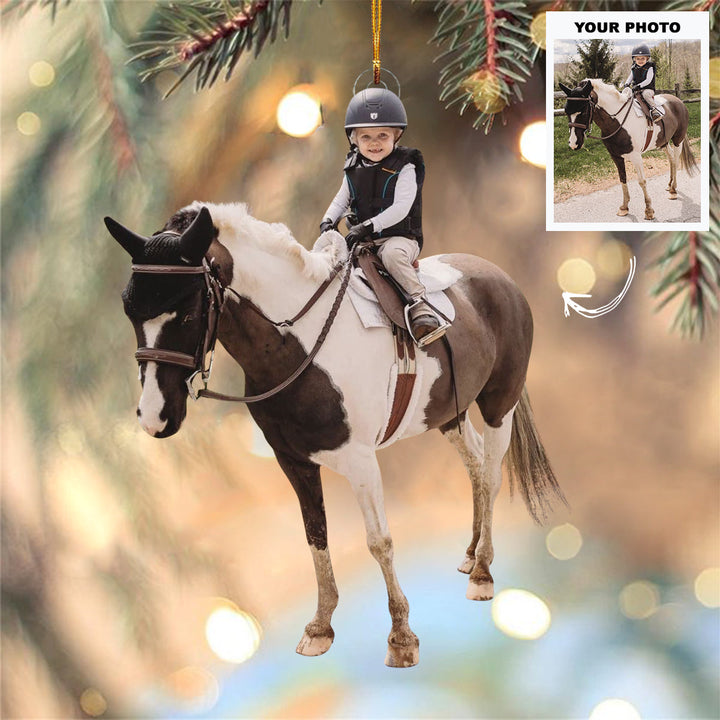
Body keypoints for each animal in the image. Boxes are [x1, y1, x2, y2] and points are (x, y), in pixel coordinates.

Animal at [104, 201, 566, 668]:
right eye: (129, 311)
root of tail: (498, 275)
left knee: (491, 475)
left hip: (498, 404)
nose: (153, 416)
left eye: (187, 311)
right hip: (447, 415)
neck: (299, 348)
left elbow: (379, 541)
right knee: (474, 464)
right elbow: (316, 537)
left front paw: (401, 637)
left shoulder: (361, 462)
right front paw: (320, 628)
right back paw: (471, 555)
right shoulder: (294, 462)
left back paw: (483, 572)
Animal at [559, 78, 698, 220]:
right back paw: (669, 185)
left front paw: (648, 210)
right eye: (566, 111)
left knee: (676, 160)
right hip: (663, 142)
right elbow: (622, 179)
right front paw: (624, 207)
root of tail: (678, 101)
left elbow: (642, 181)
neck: (617, 122)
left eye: (583, 111)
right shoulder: (616, 156)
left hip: (677, 140)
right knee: (671, 159)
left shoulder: (636, 157)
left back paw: (673, 190)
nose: (573, 143)